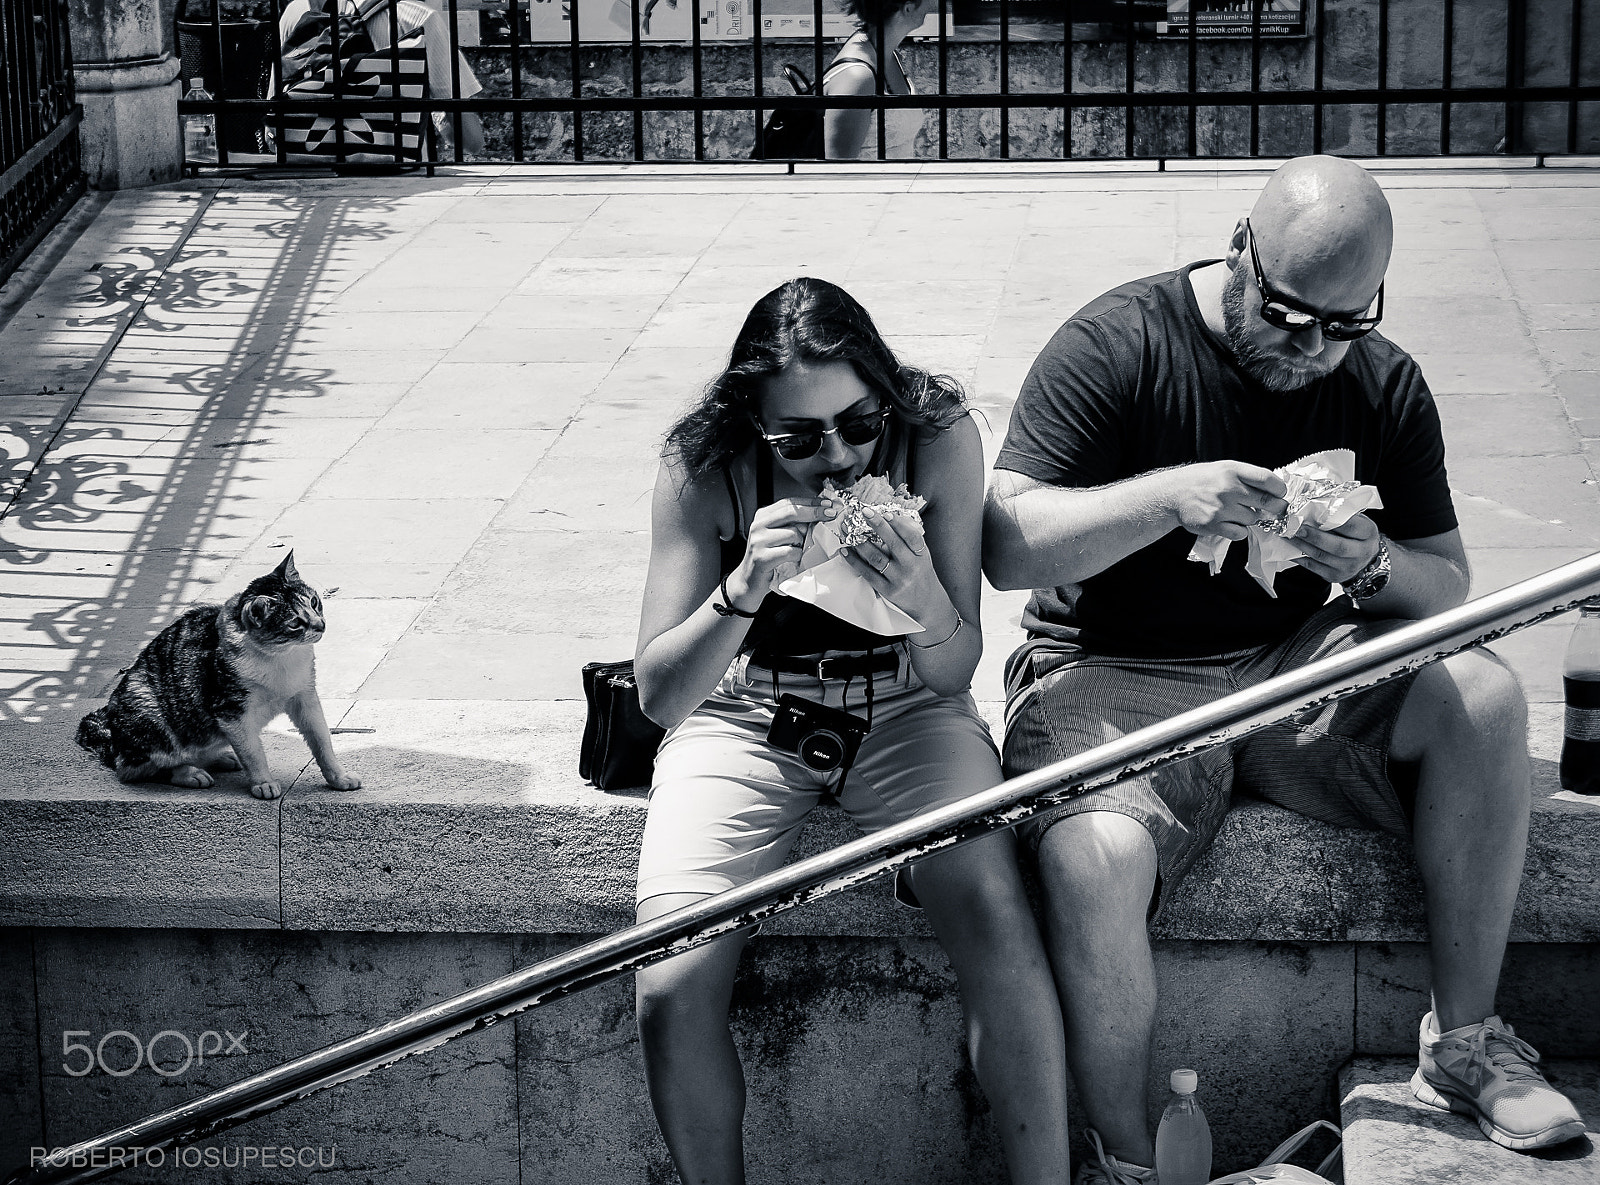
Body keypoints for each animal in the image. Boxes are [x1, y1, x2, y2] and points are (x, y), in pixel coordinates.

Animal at [75, 553, 360, 796]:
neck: (282, 658)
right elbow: (253, 752)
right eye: (295, 623)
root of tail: (113, 741)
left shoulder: (305, 697)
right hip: (147, 711)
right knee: (133, 769)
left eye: (314, 602)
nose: (321, 625)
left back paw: (221, 758)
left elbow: (322, 741)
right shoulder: (231, 712)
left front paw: (339, 777)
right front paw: (263, 782)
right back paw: (189, 773)